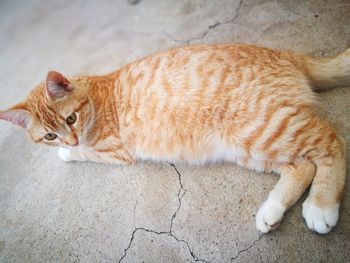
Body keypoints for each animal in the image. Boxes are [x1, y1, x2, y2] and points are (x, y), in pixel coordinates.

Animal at [0, 43, 350, 235]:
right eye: (49, 134)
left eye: (70, 119)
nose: (68, 140)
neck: (97, 98)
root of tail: (285, 54)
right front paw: (62, 150)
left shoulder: (114, 152)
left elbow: (86, 153)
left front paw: (67, 153)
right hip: (251, 146)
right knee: (301, 166)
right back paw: (272, 211)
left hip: (263, 128)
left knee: (332, 144)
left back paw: (321, 206)